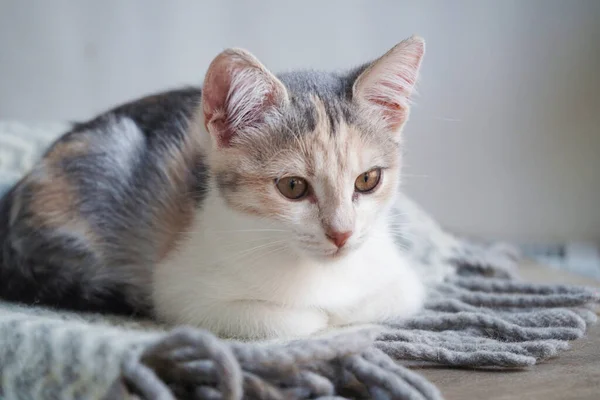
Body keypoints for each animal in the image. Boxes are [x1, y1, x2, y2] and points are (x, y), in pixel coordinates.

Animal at [0, 36, 426, 340]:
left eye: (367, 180)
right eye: (292, 186)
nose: (341, 234)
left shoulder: (401, 280)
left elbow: (392, 299)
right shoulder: (179, 291)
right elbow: (294, 321)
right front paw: (322, 316)